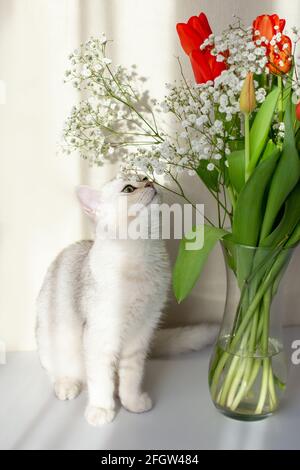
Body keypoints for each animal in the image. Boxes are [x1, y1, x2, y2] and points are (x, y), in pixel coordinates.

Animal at [36, 176, 217, 426]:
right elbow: (100, 380)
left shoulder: (141, 333)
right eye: (129, 188)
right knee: (58, 370)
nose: (150, 183)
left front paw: (132, 402)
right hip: (50, 339)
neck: (140, 256)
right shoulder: (99, 337)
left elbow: (132, 376)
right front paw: (101, 409)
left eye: (144, 177)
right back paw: (66, 384)